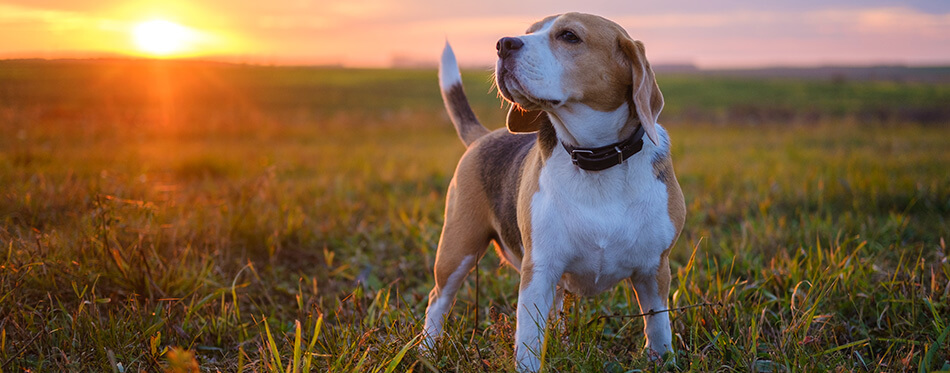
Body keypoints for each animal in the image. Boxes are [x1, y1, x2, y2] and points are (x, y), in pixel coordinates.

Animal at [422, 13, 684, 370]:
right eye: (529, 32)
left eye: (569, 36)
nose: (503, 43)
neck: (596, 160)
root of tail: (484, 136)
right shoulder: (539, 270)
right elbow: (528, 339)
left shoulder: (655, 269)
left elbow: (658, 325)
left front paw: (662, 360)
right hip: (457, 249)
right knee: (437, 301)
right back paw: (425, 351)